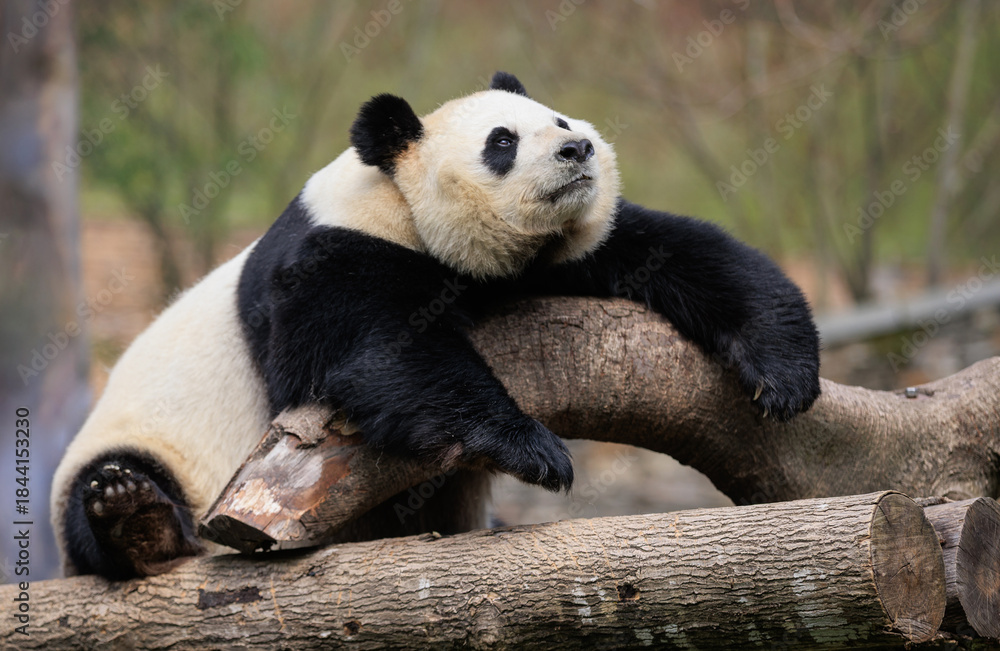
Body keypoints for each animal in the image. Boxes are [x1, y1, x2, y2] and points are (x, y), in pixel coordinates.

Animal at [51, 72, 820, 579]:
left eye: (560, 120)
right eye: (502, 141)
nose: (578, 151)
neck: (398, 200)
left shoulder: (565, 254)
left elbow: (679, 249)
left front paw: (781, 373)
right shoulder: (333, 254)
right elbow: (373, 353)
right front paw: (531, 447)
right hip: (148, 445)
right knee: (105, 492)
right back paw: (133, 516)